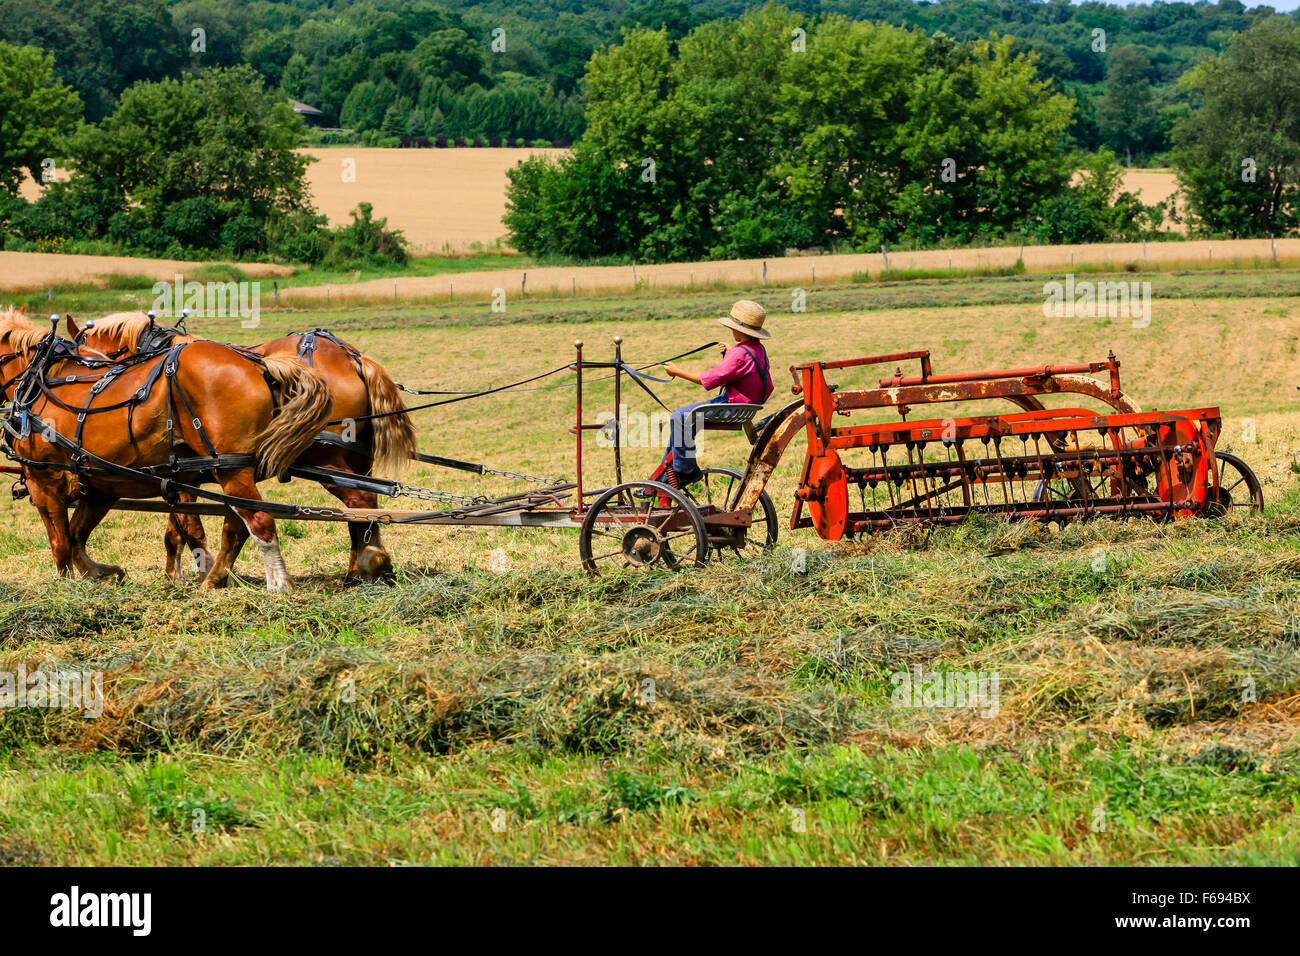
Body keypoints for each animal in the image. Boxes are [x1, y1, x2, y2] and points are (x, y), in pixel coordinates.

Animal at [0, 308, 332, 593]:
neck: (39, 384)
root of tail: (260, 364)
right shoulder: (102, 486)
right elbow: (78, 534)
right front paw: (103, 573)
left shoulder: (44, 482)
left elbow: (61, 543)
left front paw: (69, 588)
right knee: (240, 523)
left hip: (231, 468)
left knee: (259, 521)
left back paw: (277, 585)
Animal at [68, 313, 417, 583]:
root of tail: (352, 358)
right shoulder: (185, 477)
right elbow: (178, 529)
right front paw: (179, 574)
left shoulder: (183, 478)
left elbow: (187, 527)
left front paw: (197, 573)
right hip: (358, 463)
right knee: (364, 510)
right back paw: (360, 569)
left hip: (328, 461)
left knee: (360, 503)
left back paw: (367, 565)